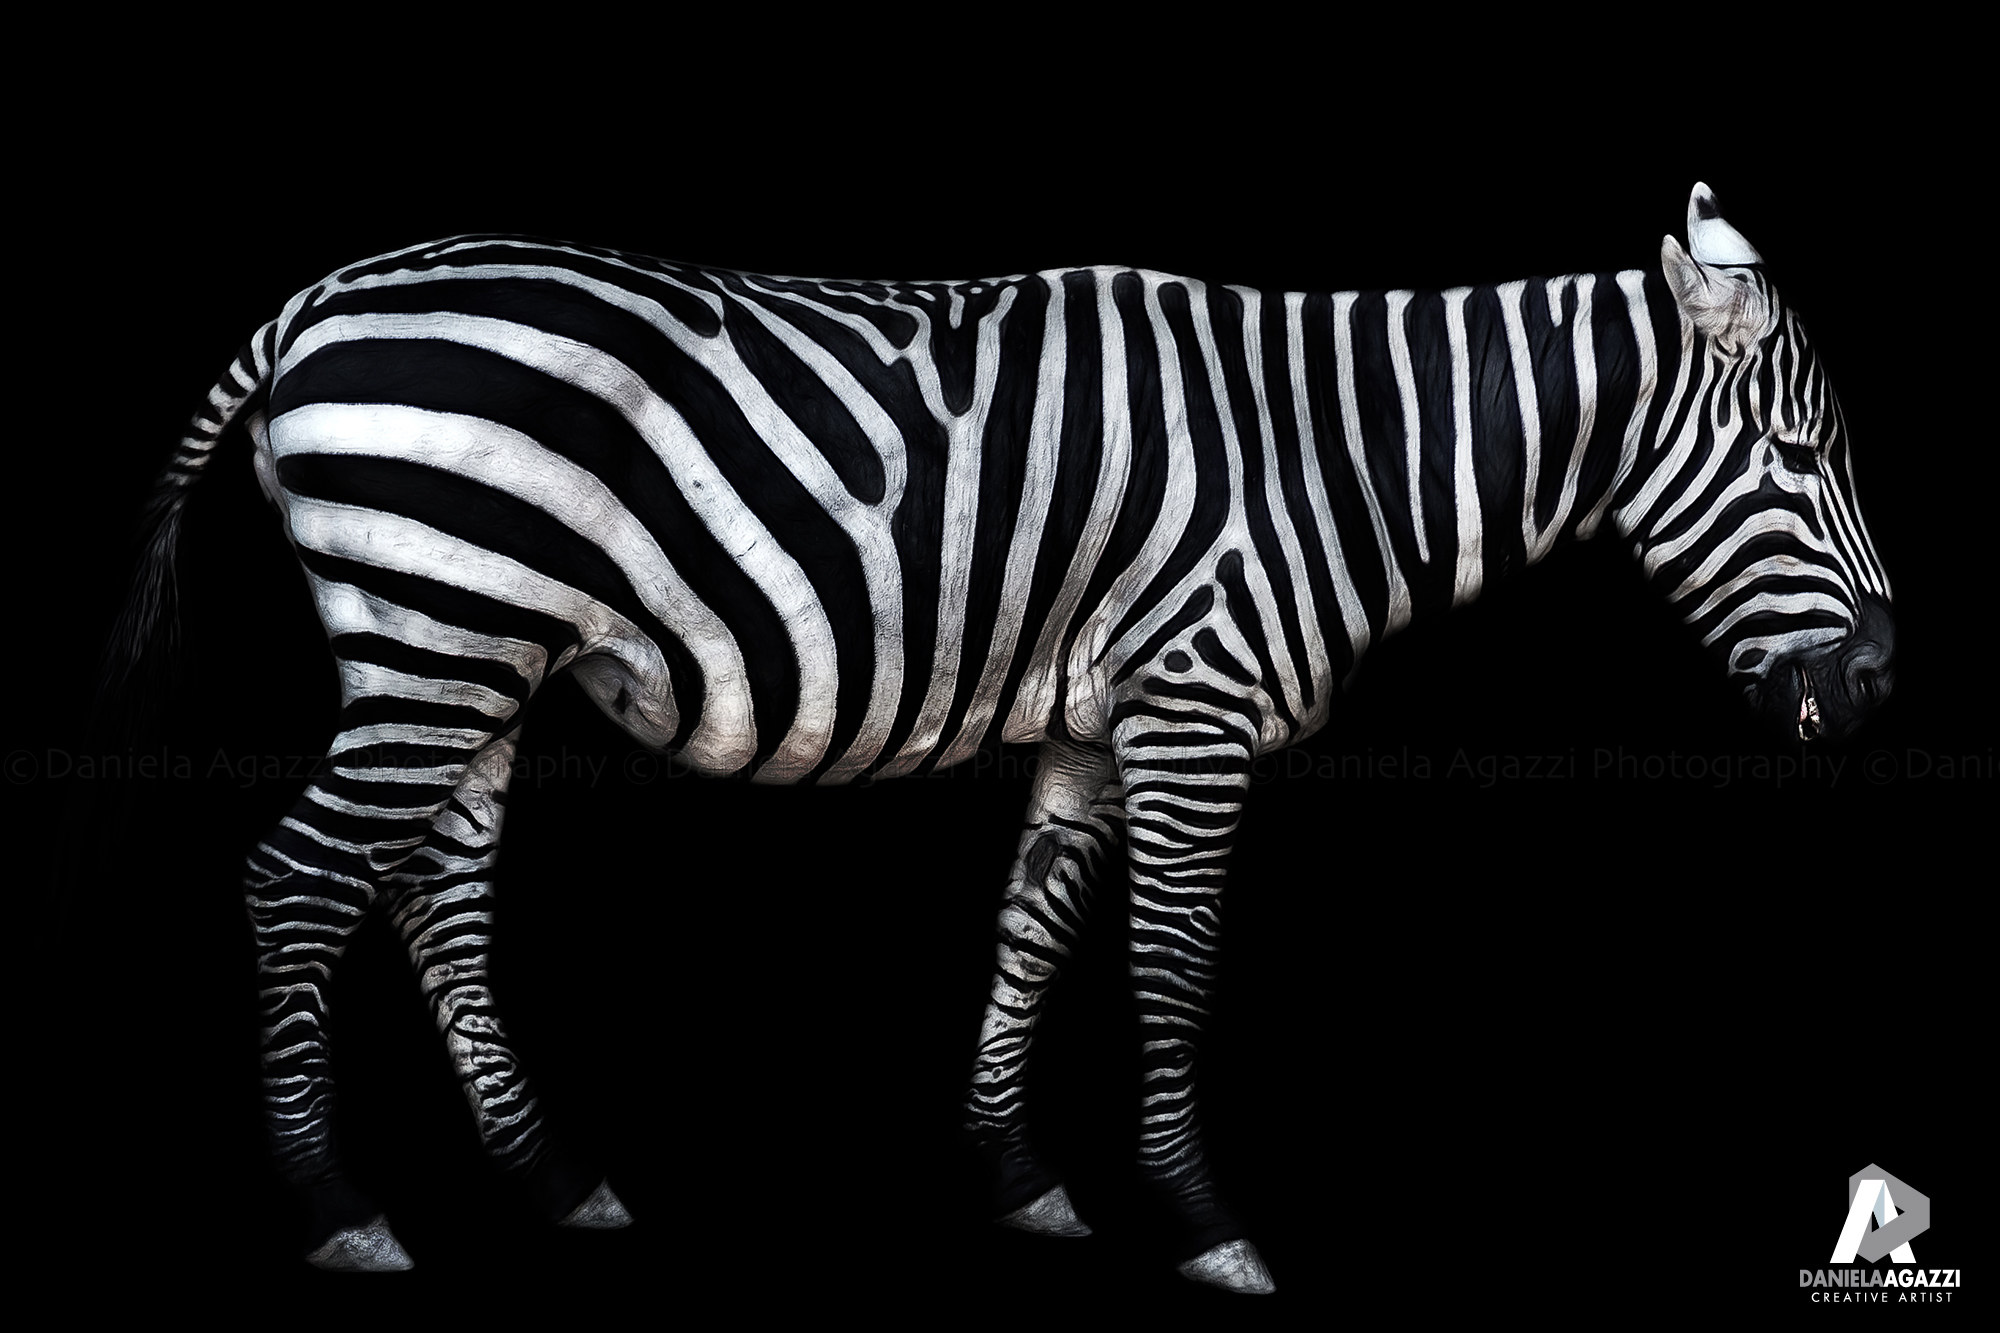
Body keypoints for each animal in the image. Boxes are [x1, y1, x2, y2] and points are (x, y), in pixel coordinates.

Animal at [104, 182, 1893, 1292]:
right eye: (1804, 460)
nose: (1880, 687)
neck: (1336, 456)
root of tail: (312, 305)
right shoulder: (1193, 703)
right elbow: (1175, 962)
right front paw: (1201, 1219)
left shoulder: (1094, 723)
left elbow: (1030, 930)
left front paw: (1016, 1175)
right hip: (436, 626)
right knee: (296, 883)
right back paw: (335, 1206)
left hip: (465, 650)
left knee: (435, 895)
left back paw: (547, 1175)